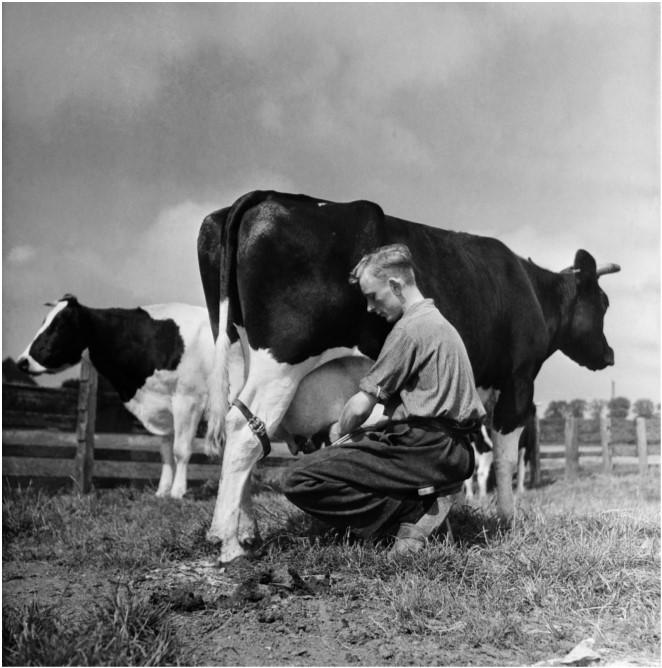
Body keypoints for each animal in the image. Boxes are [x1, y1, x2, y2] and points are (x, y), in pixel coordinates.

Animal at [197, 189, 624, 564]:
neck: (530, 288)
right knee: (245, 431)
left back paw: (244, 530)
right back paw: (229, 544)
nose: (609, 354)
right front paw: (508, 519)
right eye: (603, 303)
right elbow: (505, 457)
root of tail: (265, 196)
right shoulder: (518, 381)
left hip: (236, 352)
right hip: (281, 363)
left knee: (248, 433)